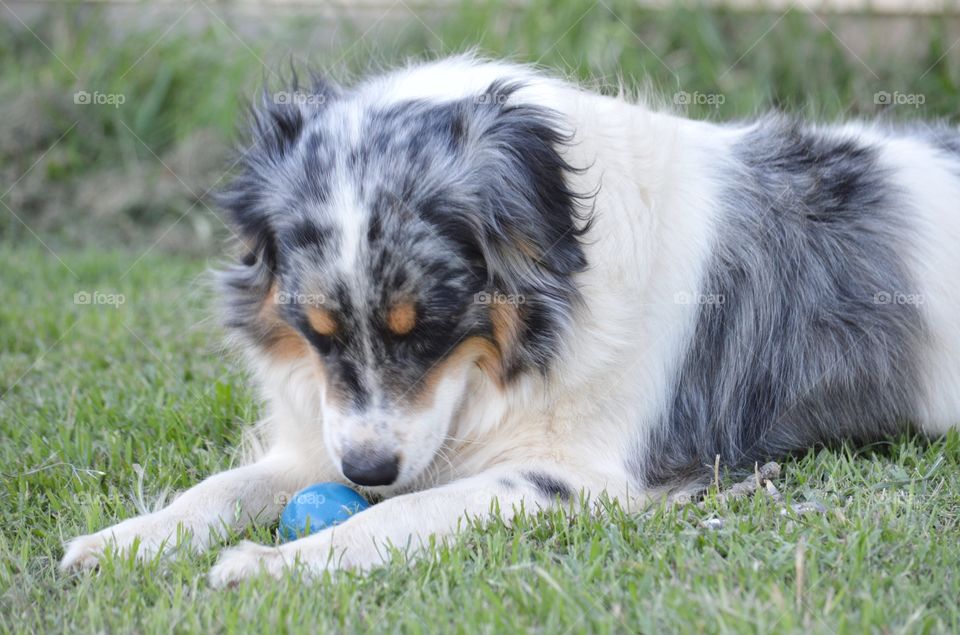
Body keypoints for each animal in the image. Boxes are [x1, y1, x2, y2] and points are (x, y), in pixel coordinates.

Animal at [62, 56, 960, 588]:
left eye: (426, 327)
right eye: (315, 331)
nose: (367, 468)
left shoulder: (579, 476)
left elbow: (398, 515)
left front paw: (273, 562)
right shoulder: (325, 430)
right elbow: (223, 486)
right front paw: (126, 539)